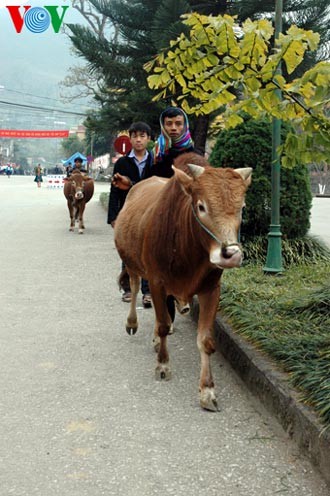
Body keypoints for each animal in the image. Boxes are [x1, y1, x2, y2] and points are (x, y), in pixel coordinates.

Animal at [114, 154, 251, 410]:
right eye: (201, 206)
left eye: (242, 208)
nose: (231, 255)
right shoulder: (156, 282)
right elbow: (163, 324)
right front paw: (163, 366)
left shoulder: (211, 289)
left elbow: (205, 340)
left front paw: (207, 391)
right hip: (132, 265)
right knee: (136, 290)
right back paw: (132, 322)